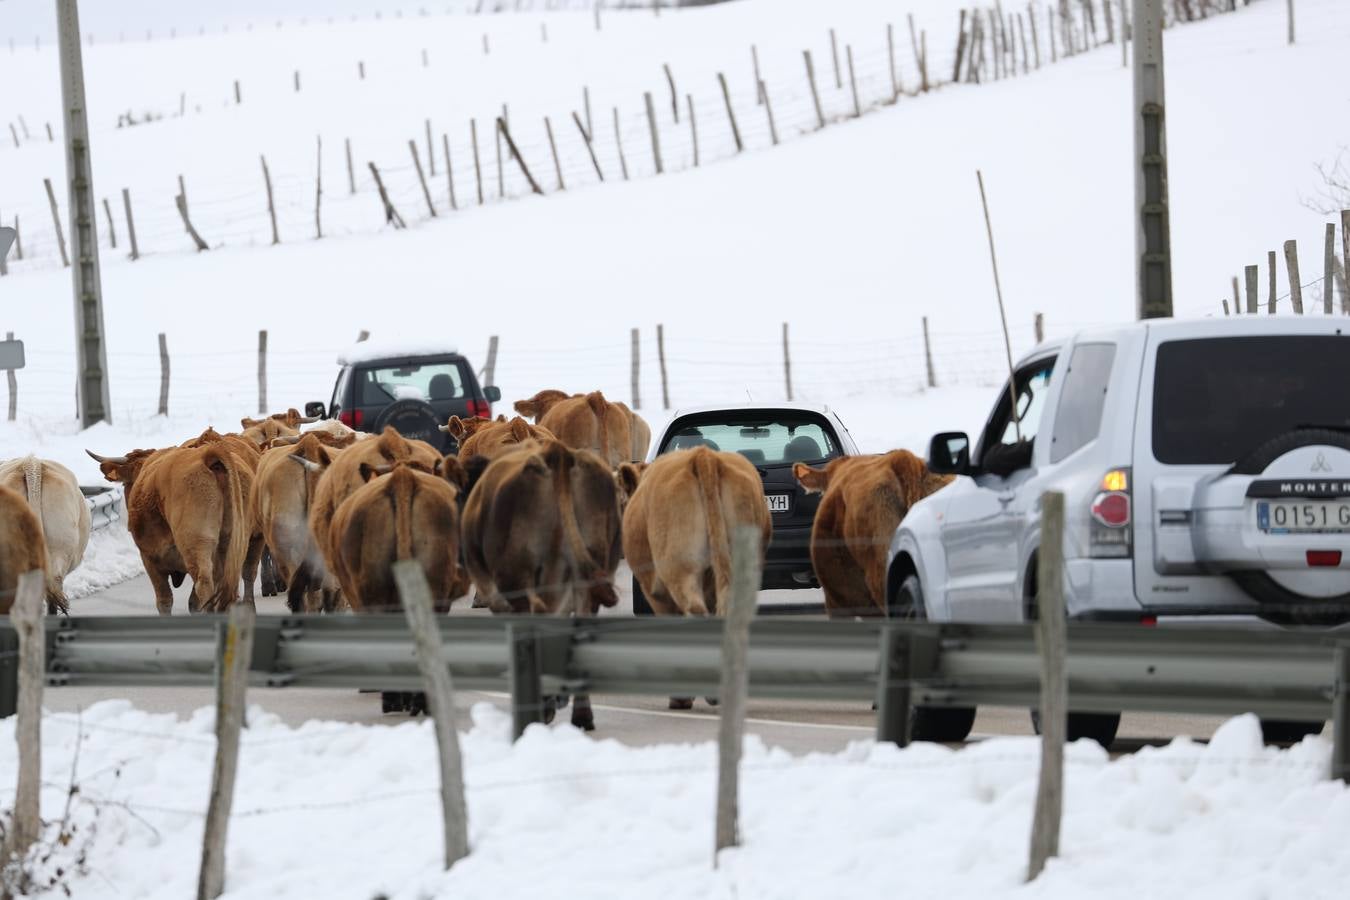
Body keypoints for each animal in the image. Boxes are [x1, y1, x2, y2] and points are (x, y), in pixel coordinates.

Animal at [88, 442, 253, 615]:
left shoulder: (150, 559)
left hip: (196, 545)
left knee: (205, 586)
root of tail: (208, 455)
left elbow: (165, 600)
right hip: (234, 546)